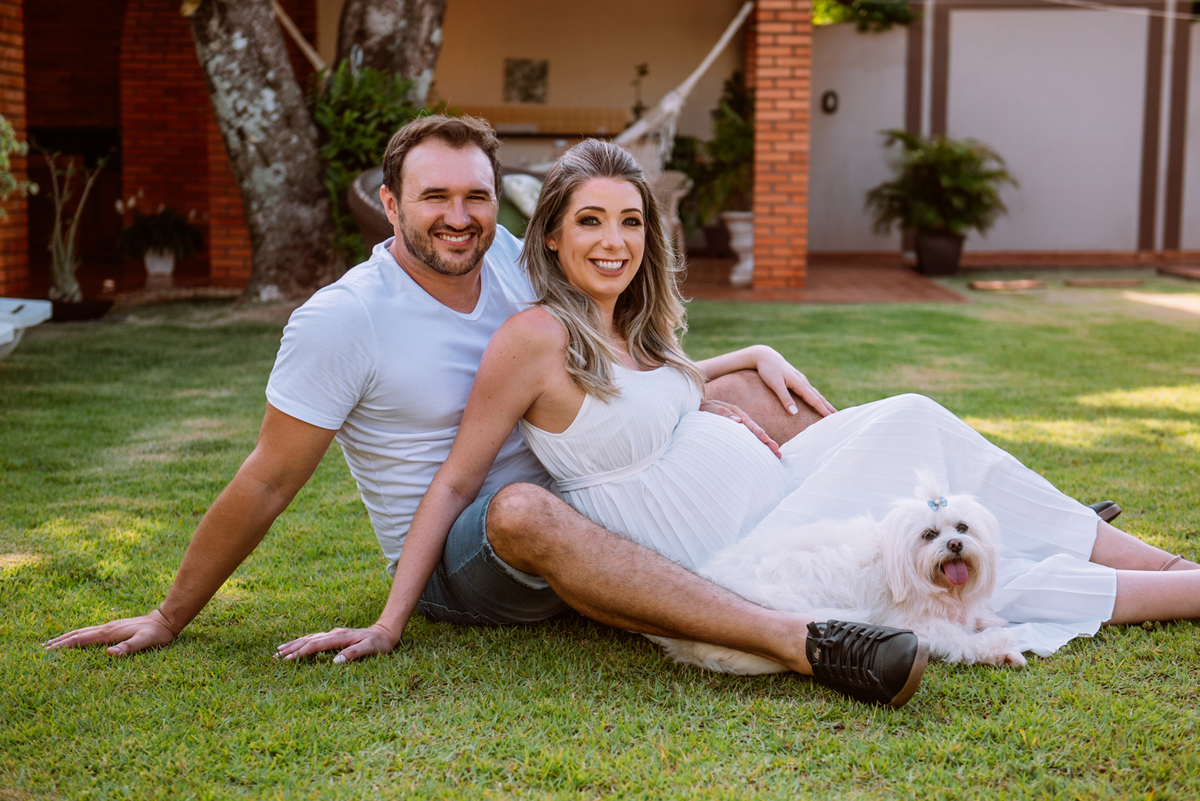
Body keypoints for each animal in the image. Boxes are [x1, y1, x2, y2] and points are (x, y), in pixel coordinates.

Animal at [650, 474, 1027, 674]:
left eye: (962, 527)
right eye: (929, 535)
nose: (954, 544)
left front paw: (987, 619)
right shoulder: (917, 625)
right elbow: (960, 641)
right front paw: (999, 648)